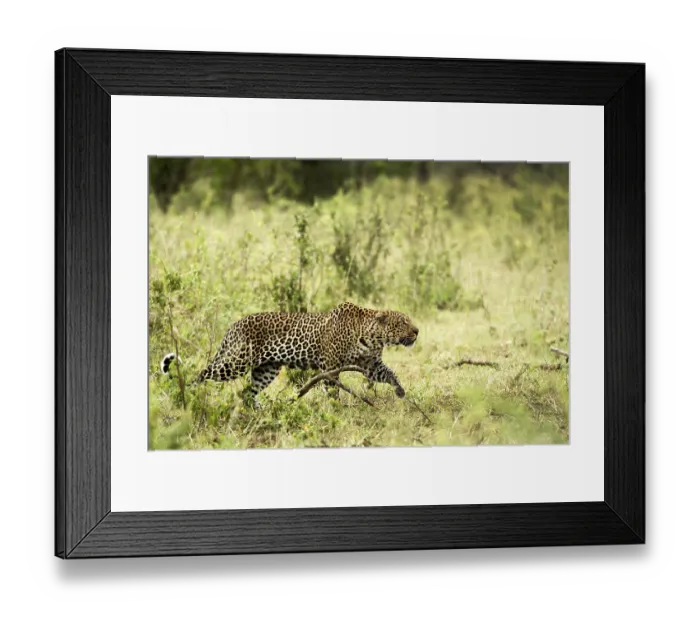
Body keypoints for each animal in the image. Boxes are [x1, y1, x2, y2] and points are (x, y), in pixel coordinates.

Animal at [160, 301, 419, 402]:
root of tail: (234, 325)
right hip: (236, 362)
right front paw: (336, 409)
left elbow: (390, 373)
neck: (373, 337)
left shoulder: (371, 365)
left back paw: (261, 411)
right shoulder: (330, 366)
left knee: (246, 393)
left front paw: (400, 391)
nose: (417, 331)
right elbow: (332, 389)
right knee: (204, 373)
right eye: (403, 322)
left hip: (266, 369)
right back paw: (185, 394)